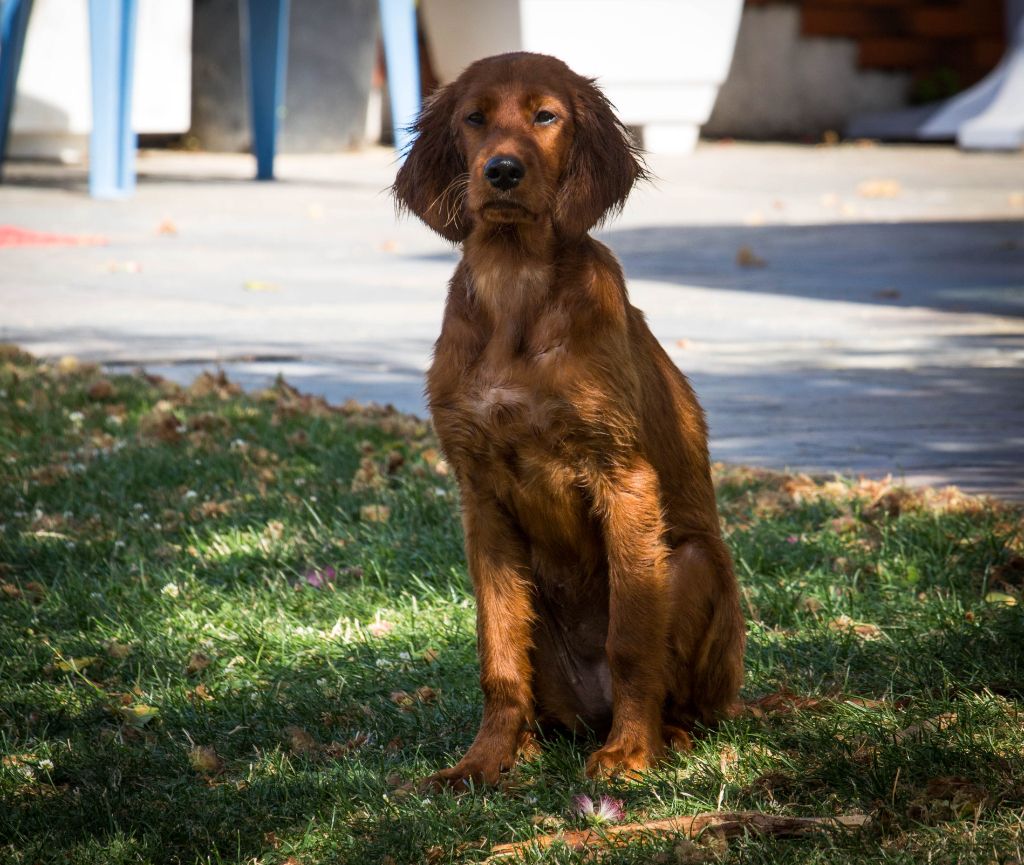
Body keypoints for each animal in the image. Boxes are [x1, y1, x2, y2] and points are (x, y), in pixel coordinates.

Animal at [393, 50, 745, 786]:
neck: (516, 288)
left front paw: (629, 754)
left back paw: (664, 737)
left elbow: (630, 641)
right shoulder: (480, 497)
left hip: (691, 560)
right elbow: (498, 650)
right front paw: (481, 761)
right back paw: (528, 744)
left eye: (546, 116)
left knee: (687, 700)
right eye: (474, 119)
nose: (501, 171)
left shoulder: (624, 478)